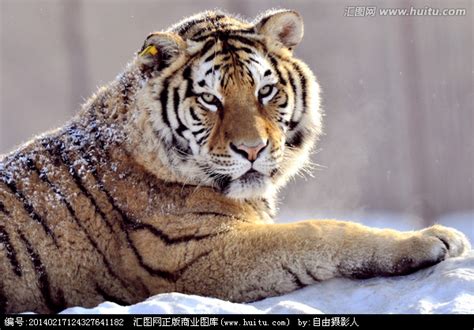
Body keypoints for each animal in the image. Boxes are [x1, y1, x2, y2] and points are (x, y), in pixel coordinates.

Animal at [0, 9, 468, 314]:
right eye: (210, 99)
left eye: (265, 91)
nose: (252, 149)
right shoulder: (198, 255)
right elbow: (321, 231)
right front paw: (435, 239)